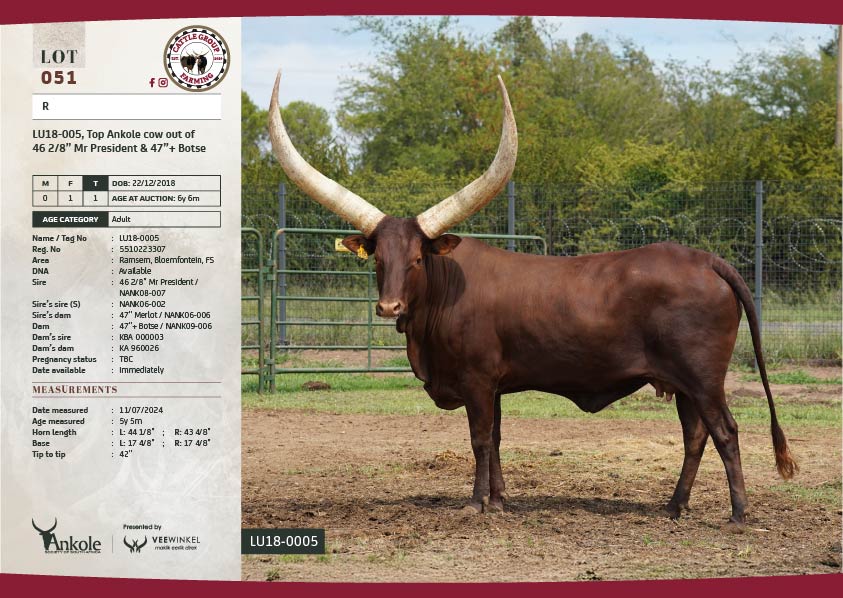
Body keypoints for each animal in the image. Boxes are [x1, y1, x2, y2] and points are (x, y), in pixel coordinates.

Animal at [268, 70, 797, 530]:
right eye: (378, 258)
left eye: (418, 258)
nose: (389, 307)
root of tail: (707, 260)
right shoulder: (496, 385)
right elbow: (498, 439)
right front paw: (500, 499)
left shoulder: (477, 380)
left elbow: (480, 439)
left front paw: (476, 503)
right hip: (683, 383)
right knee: (695, 435)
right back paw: (674, 506)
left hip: (704, 378)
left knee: (725, 432)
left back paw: (738, 513)